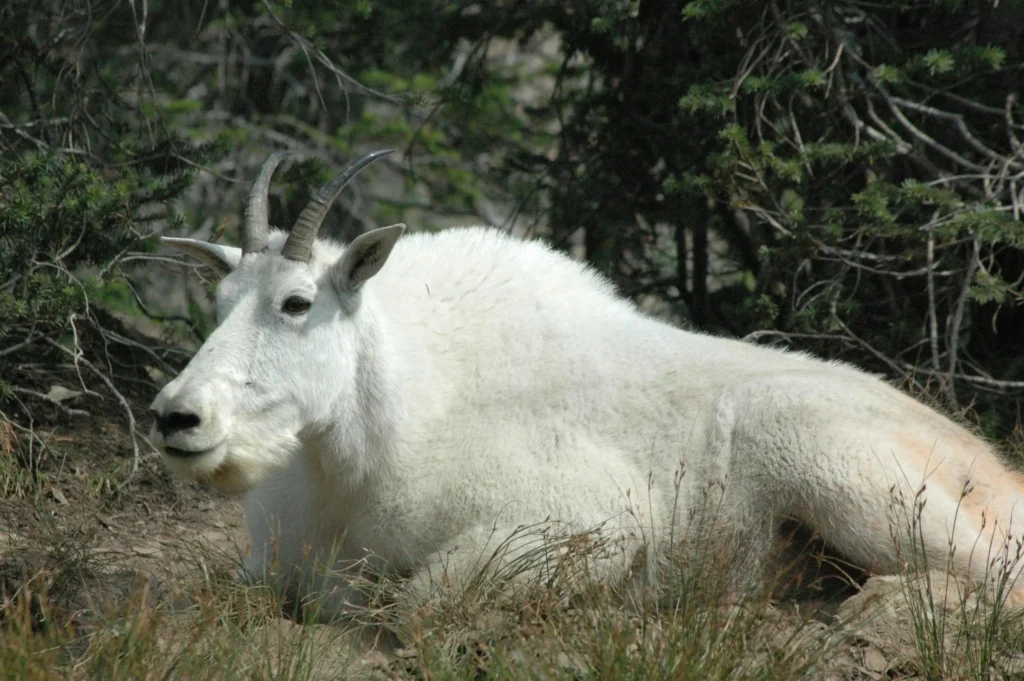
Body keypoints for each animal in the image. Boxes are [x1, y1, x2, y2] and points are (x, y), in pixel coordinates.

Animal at [149, 150, 1024, 622]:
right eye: (221, 301)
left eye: (297, 303)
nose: (178, 417)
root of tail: (993, 470)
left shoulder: (587, 523)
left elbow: (418, 600)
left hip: (854, 479)